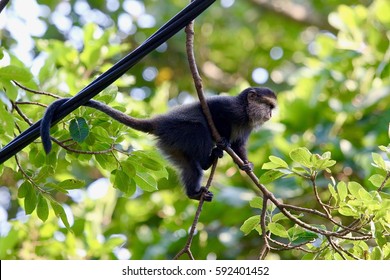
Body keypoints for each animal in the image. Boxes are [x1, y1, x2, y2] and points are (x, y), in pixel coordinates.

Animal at [40, 87, 278, 201]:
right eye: (268, 105)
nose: (270, 114)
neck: (245, 113)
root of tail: (159, 122)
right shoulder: (230, 108)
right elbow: (212, 111)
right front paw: (224, 139)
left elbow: (239, 146)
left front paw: (246, 164)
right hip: (178, 129)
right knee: (199, 130)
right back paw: (208, 159)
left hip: (172, 144)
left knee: (191, 168)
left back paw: (194, 193)